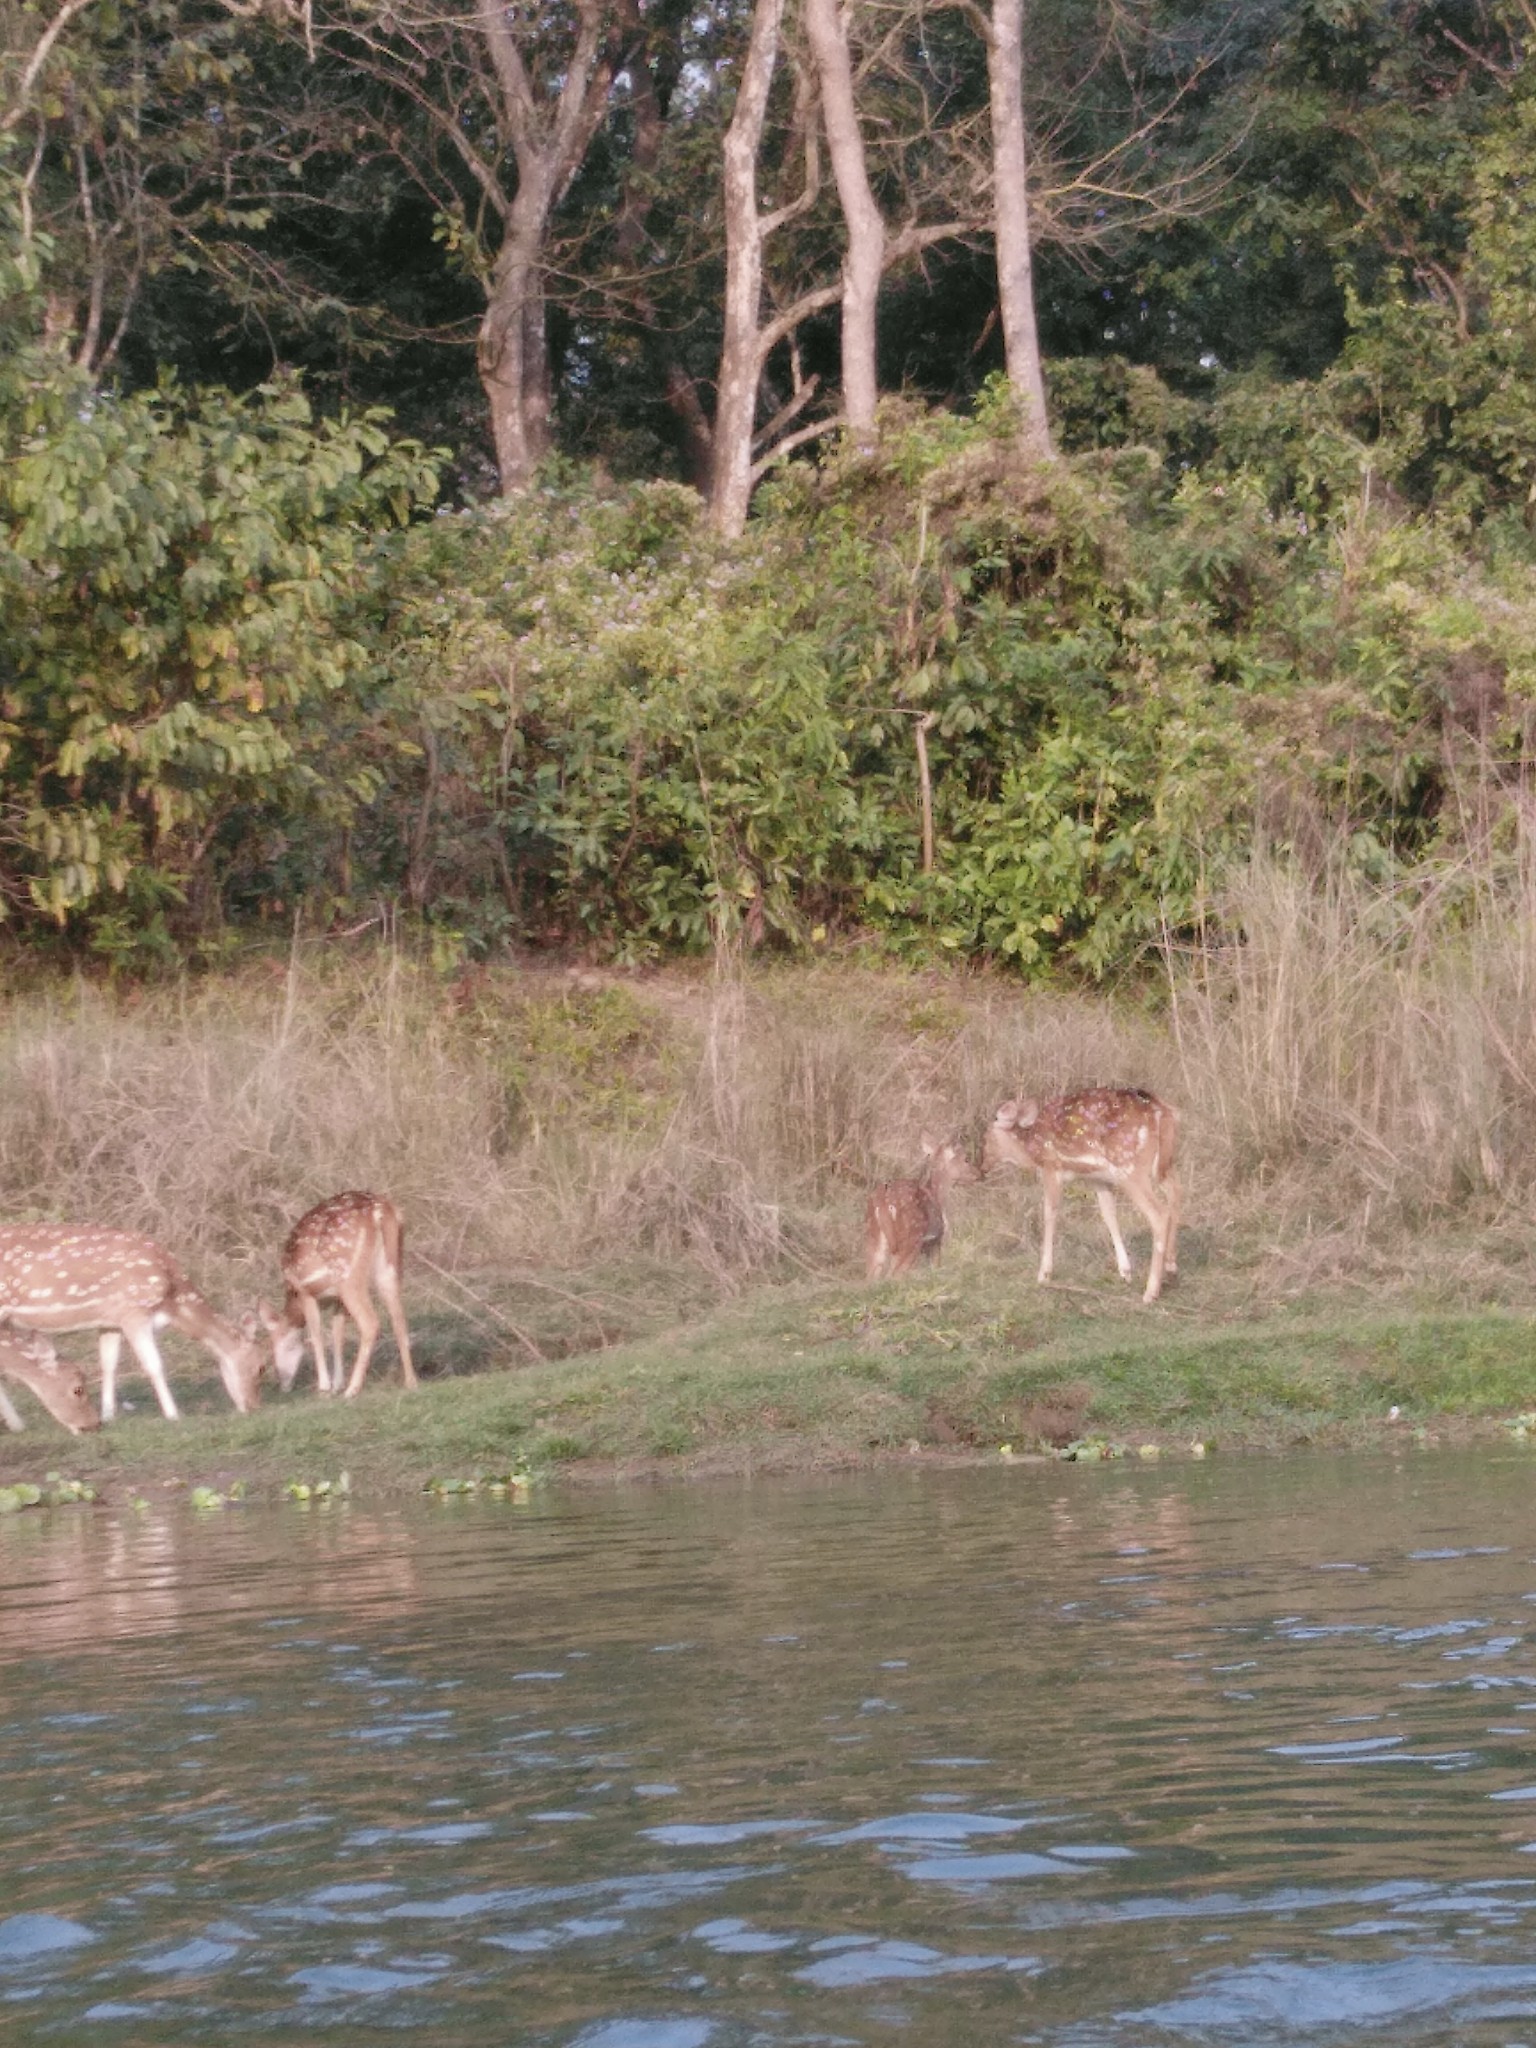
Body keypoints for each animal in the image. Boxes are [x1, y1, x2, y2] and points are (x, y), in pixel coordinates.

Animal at [0, 1228, 264, 1425]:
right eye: (262, 1367)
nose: (253, 1406)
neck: (171, 1301)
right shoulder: (134, 1310)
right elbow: (154, 1365)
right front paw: (173, 1415)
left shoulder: (111, 1320)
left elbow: (108, 1364)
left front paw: (108, 1415)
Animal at [259, 1196, 417, 1400]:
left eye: (275, 1347)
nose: (283, 1385)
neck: (292, 1295)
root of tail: (381, 1212)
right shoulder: (337, 1300)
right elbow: (337, 1334)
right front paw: (337, 1385)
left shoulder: (306, 1292)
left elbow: (316, 1334)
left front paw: (325, 1388)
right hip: (389, 1269)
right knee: (399, 1319)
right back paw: (411, 1382)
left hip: (348, 1276)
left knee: (370, 1322)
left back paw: (353, 1389)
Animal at [868, 1138, 987, 1277]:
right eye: (966, 1159)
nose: (980, 1174)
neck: (937, 1195)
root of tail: (882, 1202)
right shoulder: (936, 1240)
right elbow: (936, 1266)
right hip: (911, 1240)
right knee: (895, 1274)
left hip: (874, 1237)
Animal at [978, 1081, 1187, 1302]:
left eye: (985, 1138)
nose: (981, 1166)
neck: (1031, 1148)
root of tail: (1163, 1112)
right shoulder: (1098, 1178)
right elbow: (1108, 1214)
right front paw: (1125, 1271)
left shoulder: (1052, 1168)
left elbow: (1049, 1213)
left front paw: (1044, 1274)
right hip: (1162, 1165)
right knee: (1176, 1192)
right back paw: (1171, 1268)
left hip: (1129, 1166)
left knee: (1159, 1213)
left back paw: (1150, 1291)